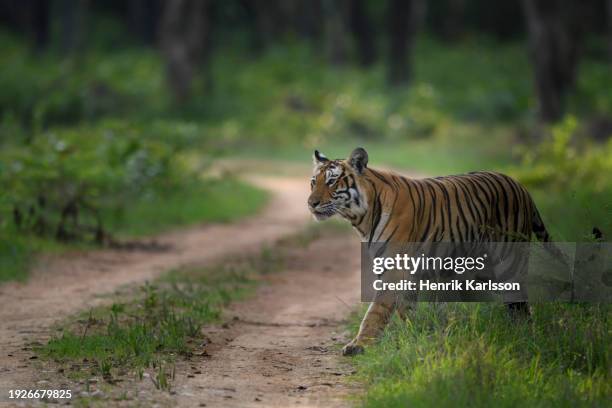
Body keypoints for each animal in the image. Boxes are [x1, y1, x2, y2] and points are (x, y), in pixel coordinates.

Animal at [308, 146, 556, 354]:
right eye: (313, 182)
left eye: (331, 182)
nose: (311, 203)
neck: (362, 218)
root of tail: (521, 186)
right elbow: (405, 308)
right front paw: (415, 336)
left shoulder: (394, 268)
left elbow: (377, 310)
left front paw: (360, 345)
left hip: (509, 261)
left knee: (520, 306)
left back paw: (524, 337)